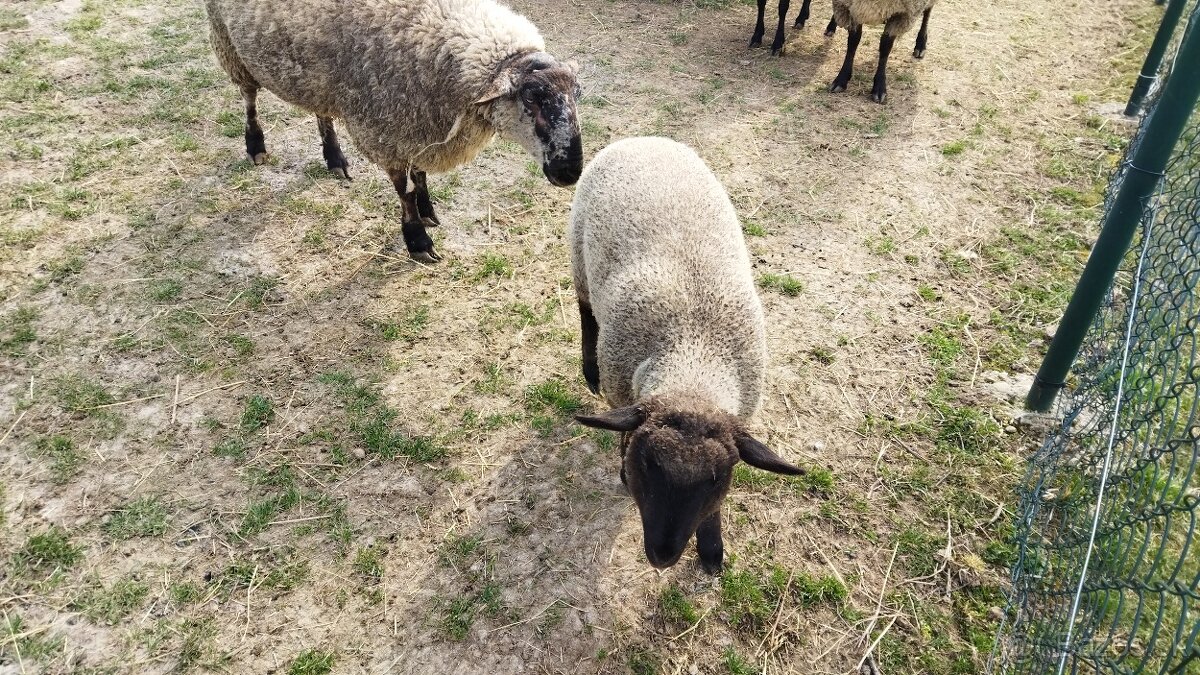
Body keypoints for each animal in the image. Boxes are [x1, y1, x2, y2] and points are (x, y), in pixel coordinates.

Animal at [205, 0, 585, 261]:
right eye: (530, 98)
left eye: (577, 95)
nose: (570, 172)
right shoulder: (386, 129)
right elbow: (403, 188)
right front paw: (416, 238)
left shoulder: (417, 123)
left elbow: (419, 174)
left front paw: (427, 208)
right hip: (229, 45)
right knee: (249, 98)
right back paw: (256, 146)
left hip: (317, 78)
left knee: (321, 111)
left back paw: (334, 157)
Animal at [566, 136, 801, 571]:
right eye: (647, 464)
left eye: (717, 478)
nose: (662, 556)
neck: (695, 359)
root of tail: (643, 139)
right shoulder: (623, 394)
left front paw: (711, 549)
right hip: (578, 256)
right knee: (586, 313)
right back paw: (588, 369)